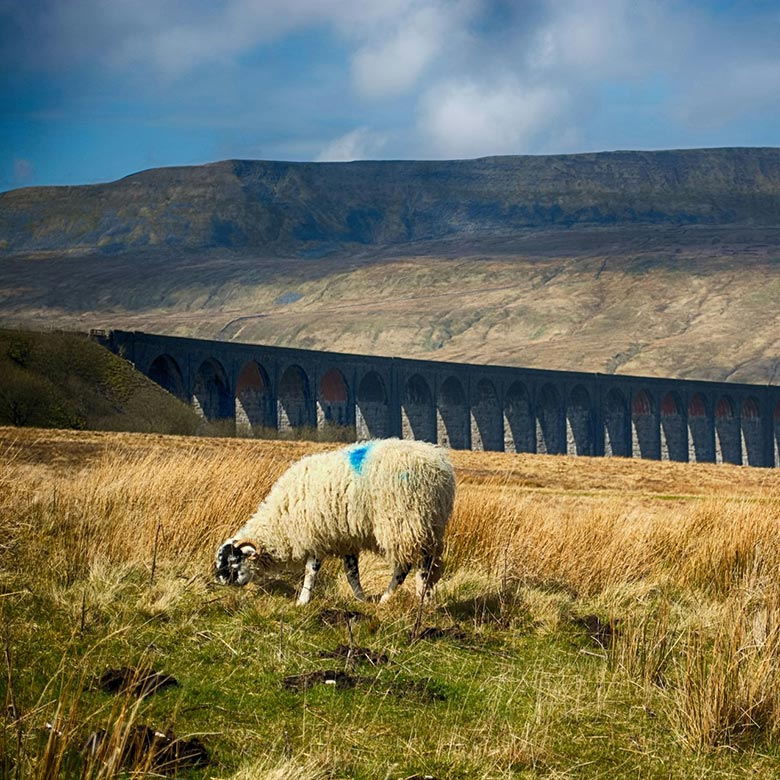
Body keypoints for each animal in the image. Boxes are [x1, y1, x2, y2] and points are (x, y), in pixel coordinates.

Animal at [213, 438, 458, 604]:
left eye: (233, 562)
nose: (219, 581)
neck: (281, 519)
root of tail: (441, 467)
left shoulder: (314, 535)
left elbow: (311, 572)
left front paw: (302, 601)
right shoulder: (345, 539)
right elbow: (352, 574)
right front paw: (361, 599)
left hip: (403, 522)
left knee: (409, 566)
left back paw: (394, 599)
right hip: (428, 524)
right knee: (426, 563)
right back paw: (423, 598)